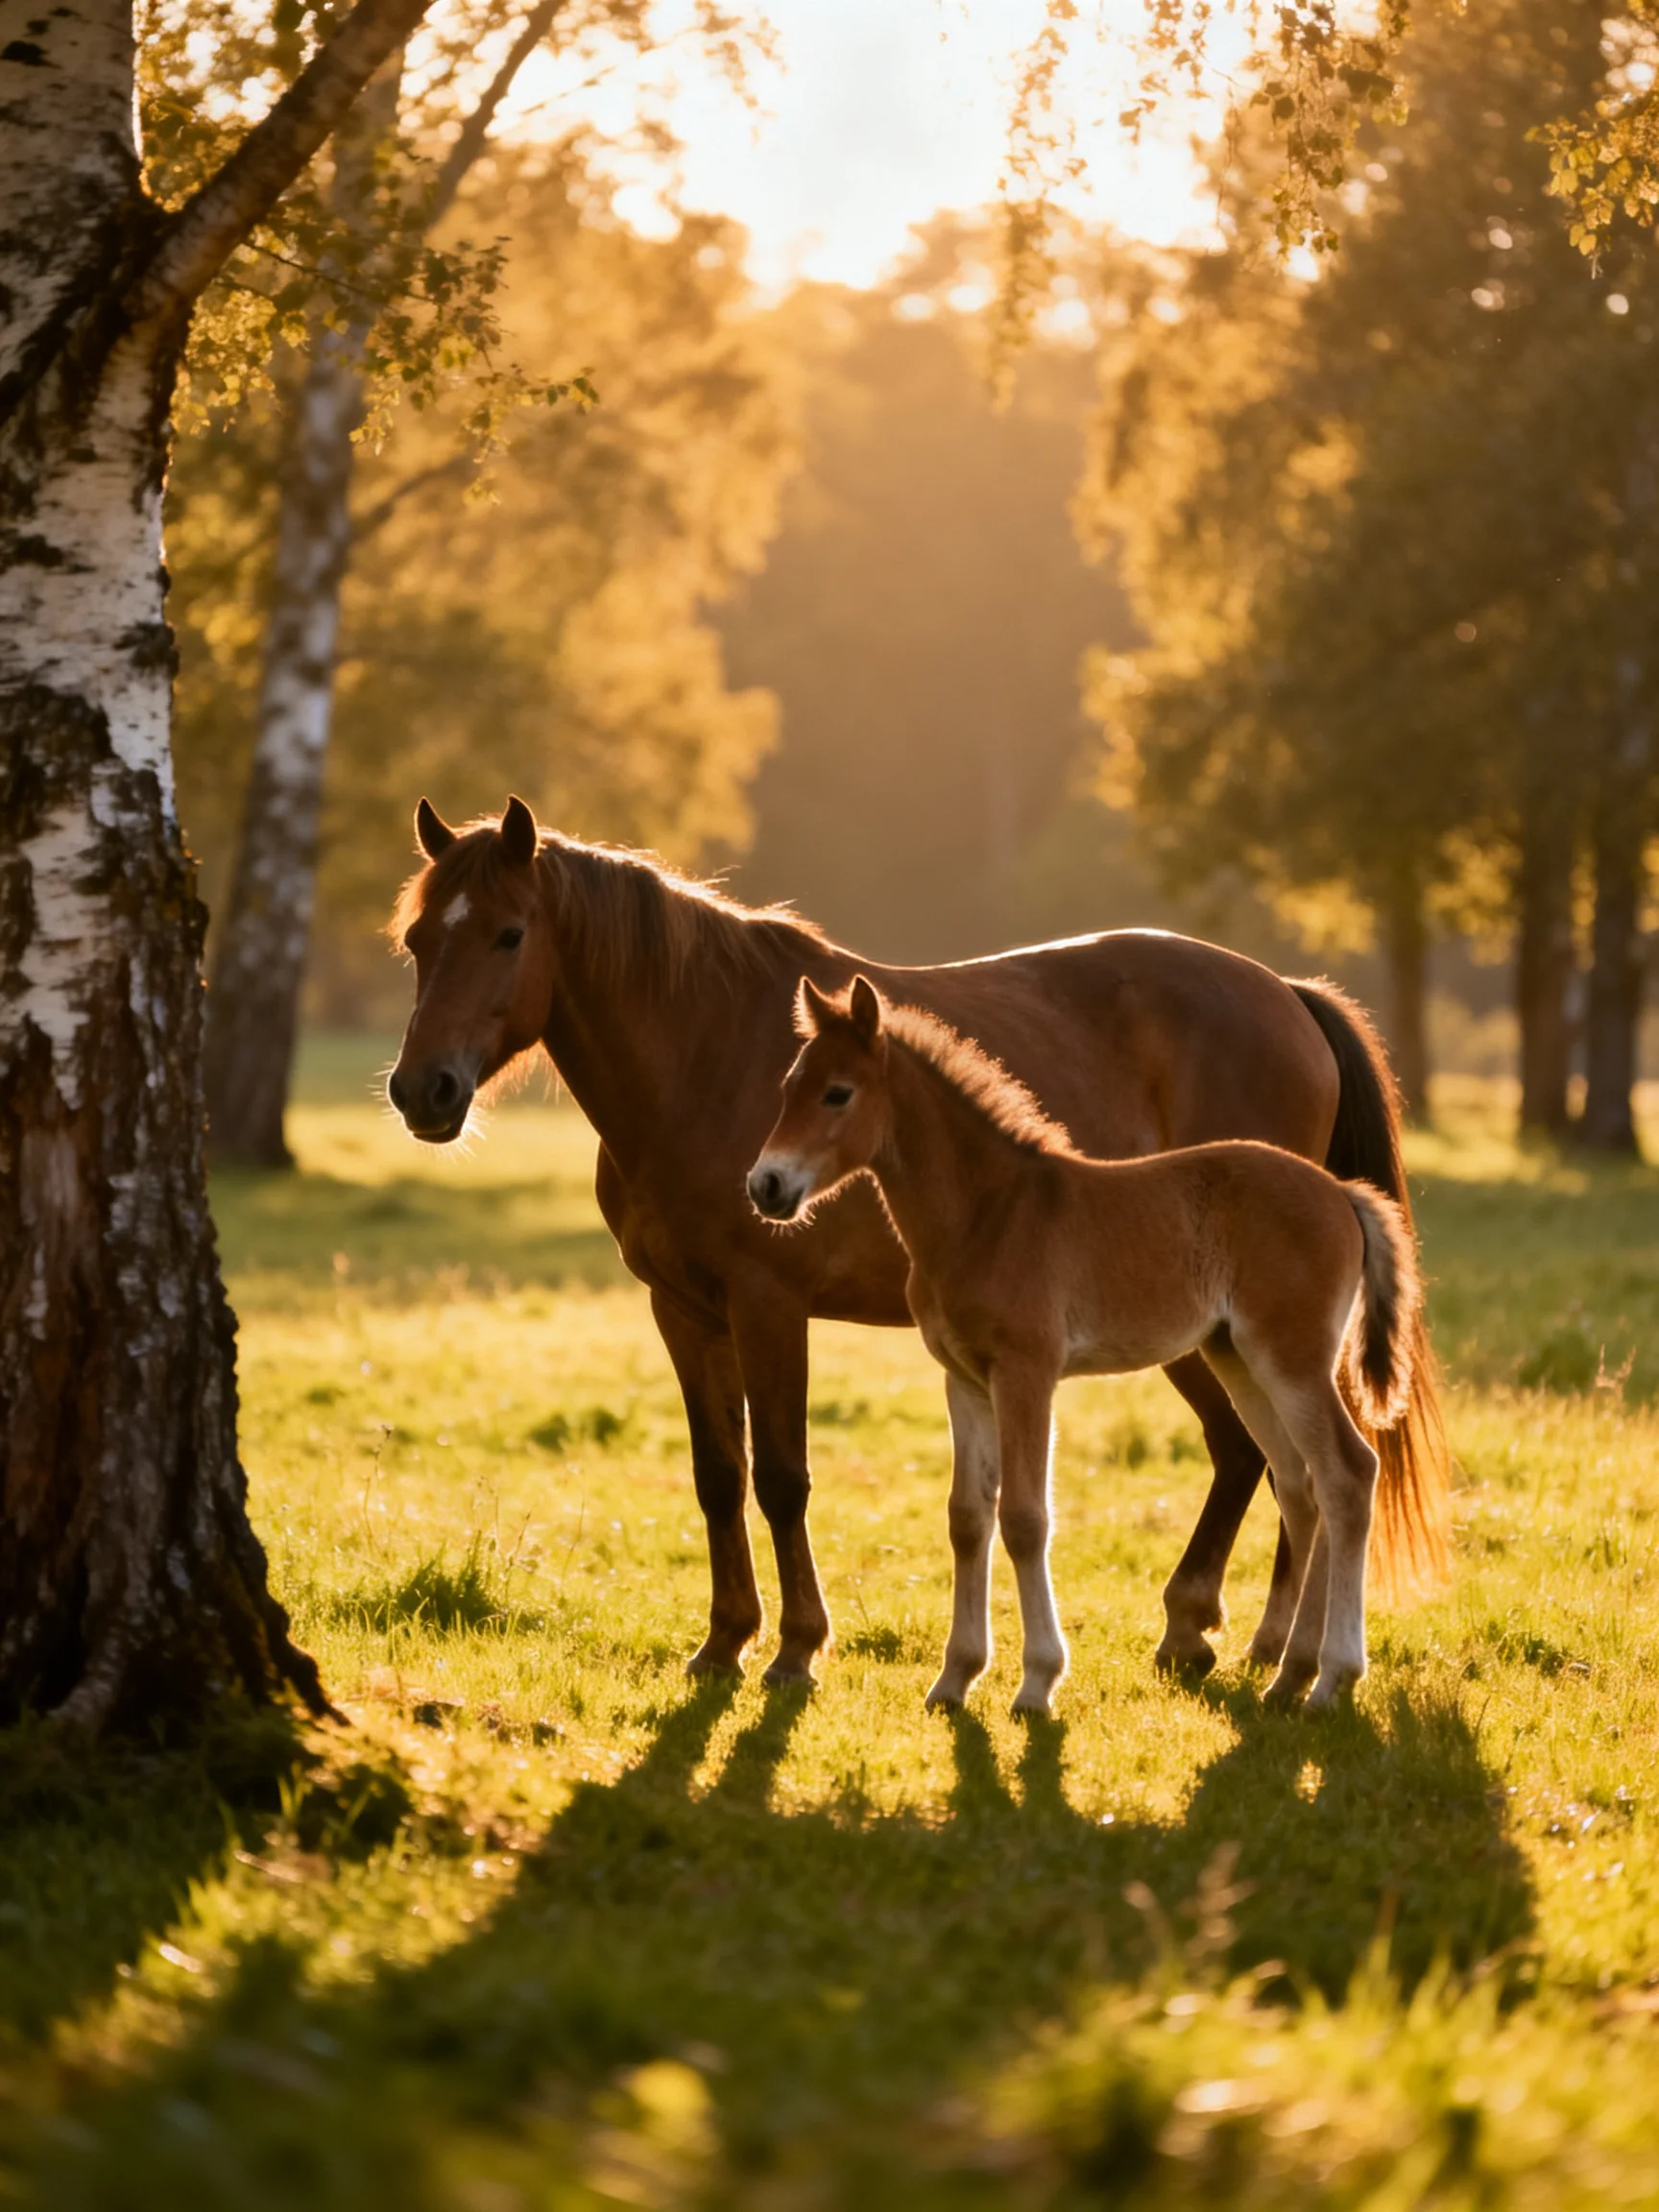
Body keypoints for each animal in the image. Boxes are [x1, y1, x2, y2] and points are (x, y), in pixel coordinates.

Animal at [748, 975, 1422, 1715]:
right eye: (788, 1085)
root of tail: (1344, 1194)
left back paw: (1332, 1678)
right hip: (1239, 1358)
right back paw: (1289, 1673)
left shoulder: (1027, 1371)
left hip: (1292, 1358)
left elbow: (1024, 1517)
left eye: (838, 1092)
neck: (990, 1212)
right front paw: (953, 1680)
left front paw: (1037, 1683)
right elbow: (967, 1518)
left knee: (1346, 1474)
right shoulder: (964, 1378)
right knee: (1302, 1485)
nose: (766, 1186)